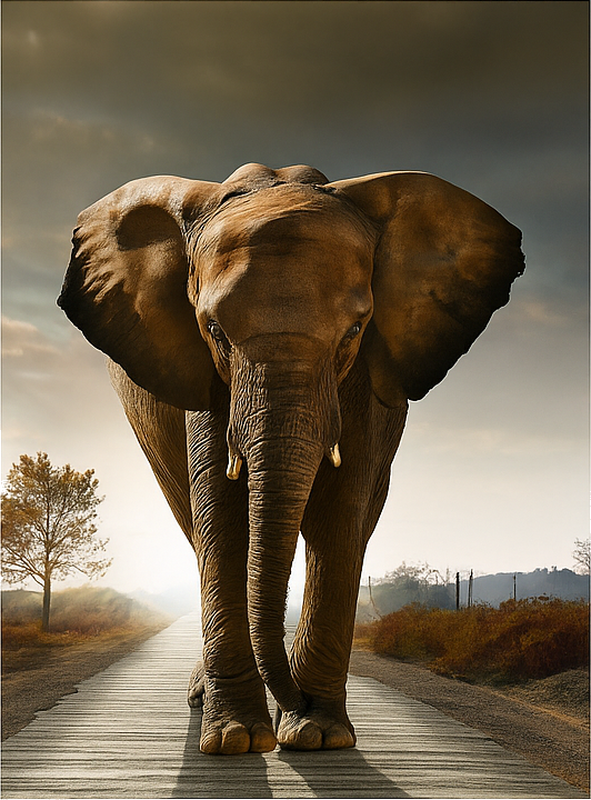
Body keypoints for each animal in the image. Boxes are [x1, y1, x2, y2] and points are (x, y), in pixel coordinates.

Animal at [58, 162, 524, 755]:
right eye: (215, 332)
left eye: (355, 330)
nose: (294, 702)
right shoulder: (203, 375)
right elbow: (223, 515)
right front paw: (237, 737)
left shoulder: (370, 374)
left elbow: (341, 512)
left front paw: (316, 734)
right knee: (193, 522)